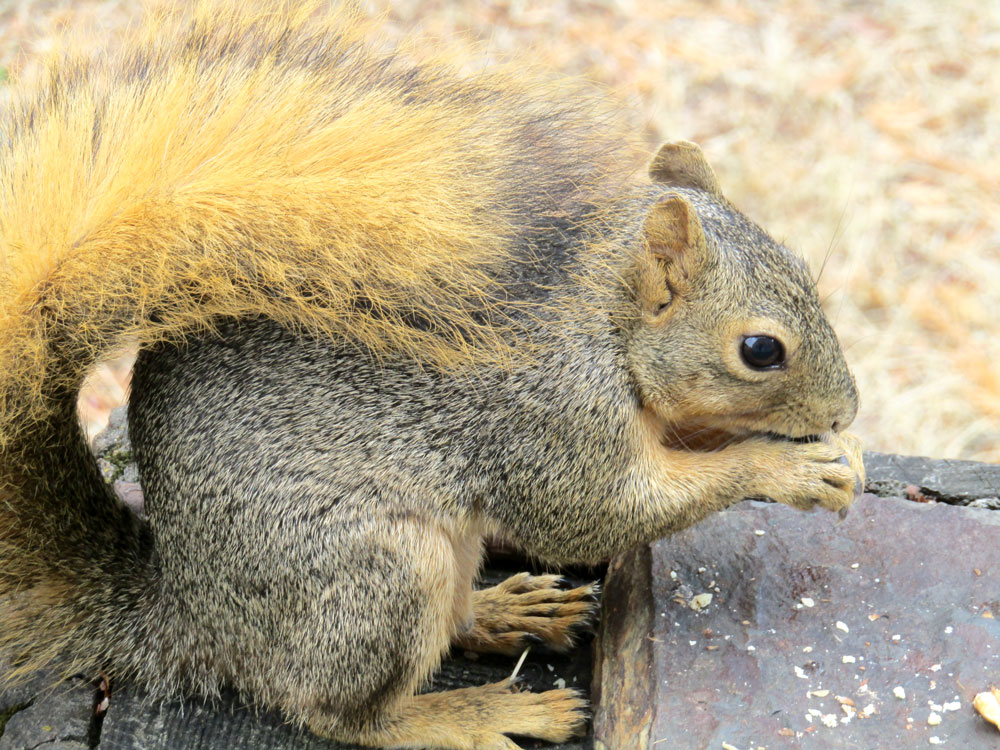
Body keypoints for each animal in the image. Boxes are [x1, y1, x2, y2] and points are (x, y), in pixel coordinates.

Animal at [0, 2, 864, 748]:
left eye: (802, 268)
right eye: (760, 350)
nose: (848, 411)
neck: (606, 324)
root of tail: (194, 613)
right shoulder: (553, 421)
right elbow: (595, 516)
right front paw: (790, 468)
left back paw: (508, 613)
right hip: (375, 574)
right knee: (340, 714)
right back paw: (474, 715)